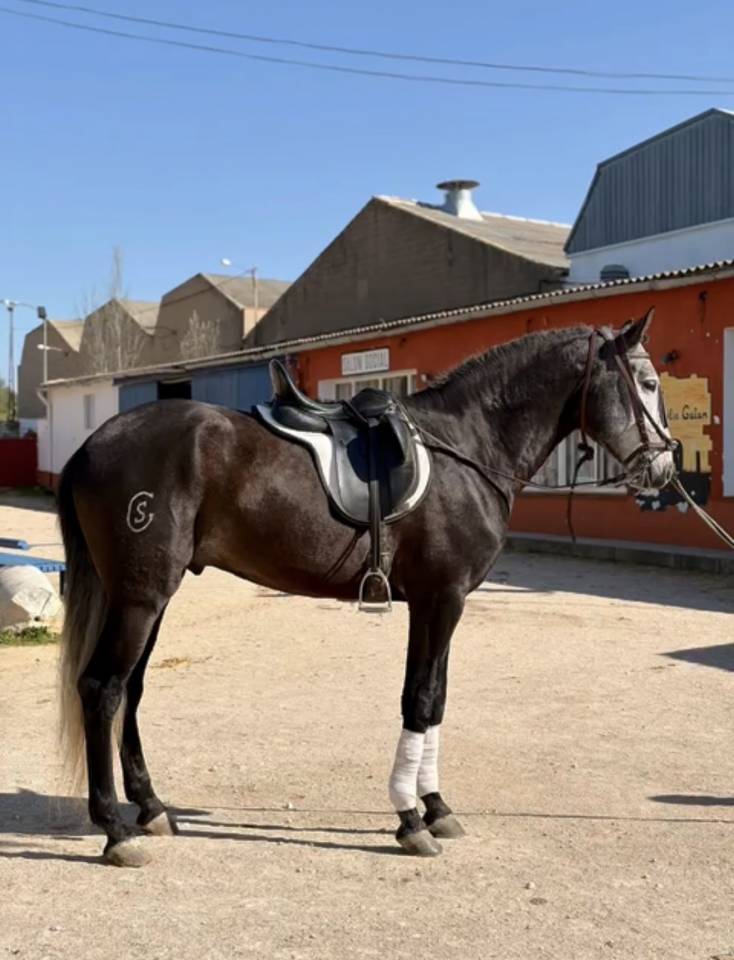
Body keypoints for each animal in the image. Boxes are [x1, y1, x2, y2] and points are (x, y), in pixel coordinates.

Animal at [56, 309, 675, 866]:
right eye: (646, 383)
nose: (664, 470)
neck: (468, 446)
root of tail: (90, 446)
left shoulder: (440, 602)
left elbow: (435, 699)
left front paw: (436, 807)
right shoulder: (440, 599)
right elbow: (419, 699)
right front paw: (410, 819)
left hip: (148, 598)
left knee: (131, 690)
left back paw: (152, 808)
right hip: (141, 598)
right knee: (102, 689)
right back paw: (115, 830)